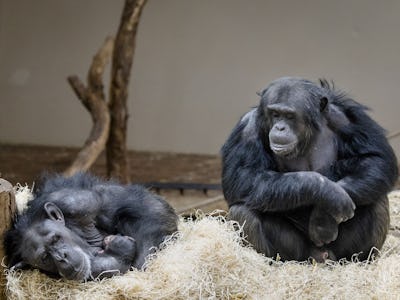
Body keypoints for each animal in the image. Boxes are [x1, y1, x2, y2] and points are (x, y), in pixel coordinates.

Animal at [220, 77, 398, 262]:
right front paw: (329, 193)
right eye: (275, 114)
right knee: (242, 212)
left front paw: (323, 218)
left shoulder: (346, 118)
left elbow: (374, 158)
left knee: (377, 200)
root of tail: (319, 256)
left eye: (289, 116)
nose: (280, 127)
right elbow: (245, 176)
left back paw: (360, 261)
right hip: (297, 253)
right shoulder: (247, 129)